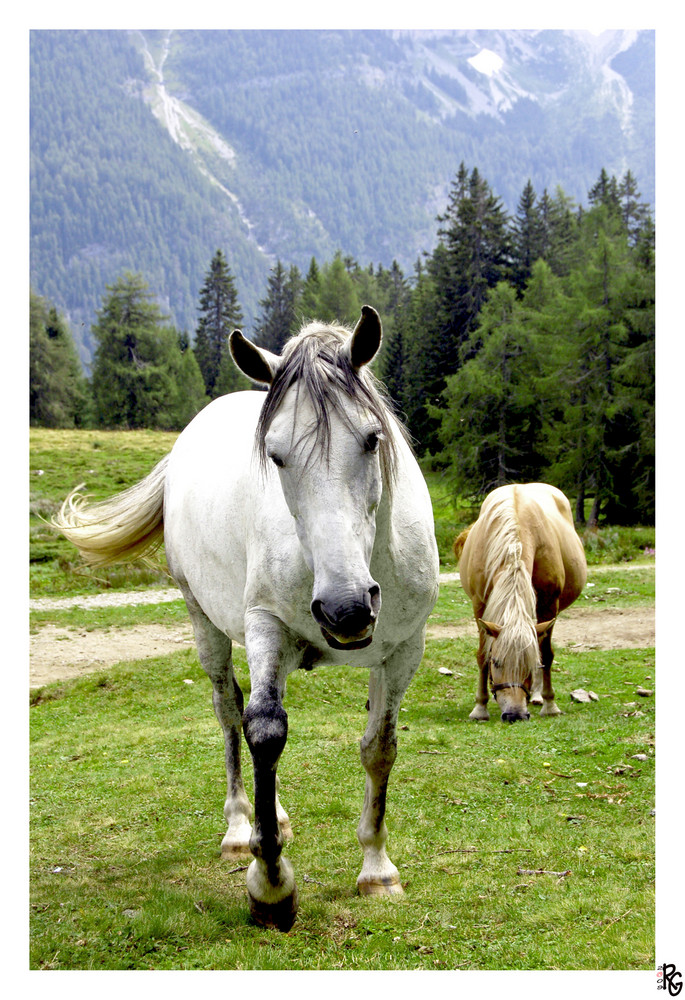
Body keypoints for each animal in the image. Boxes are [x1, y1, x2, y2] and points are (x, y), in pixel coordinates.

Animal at [54, 308, 438, 932]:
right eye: (276, 456)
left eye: (371, 438)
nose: (345, 609)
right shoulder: (265, 625)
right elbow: (264, 730)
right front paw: (271, 884)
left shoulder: (404, 648)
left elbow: (378, 747)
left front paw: (377, 869)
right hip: (205, 621)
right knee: (231, 709)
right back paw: (242, 827)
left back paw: (272, 818)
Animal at [454, 482, 584, 724]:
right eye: (497, 662)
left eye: (528, 664)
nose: (515, 714)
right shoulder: (479, 606)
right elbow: (481, 655)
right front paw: (480, 707)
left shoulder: (549, 604)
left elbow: (545, 654)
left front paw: (550, 704)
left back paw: (538, 696)